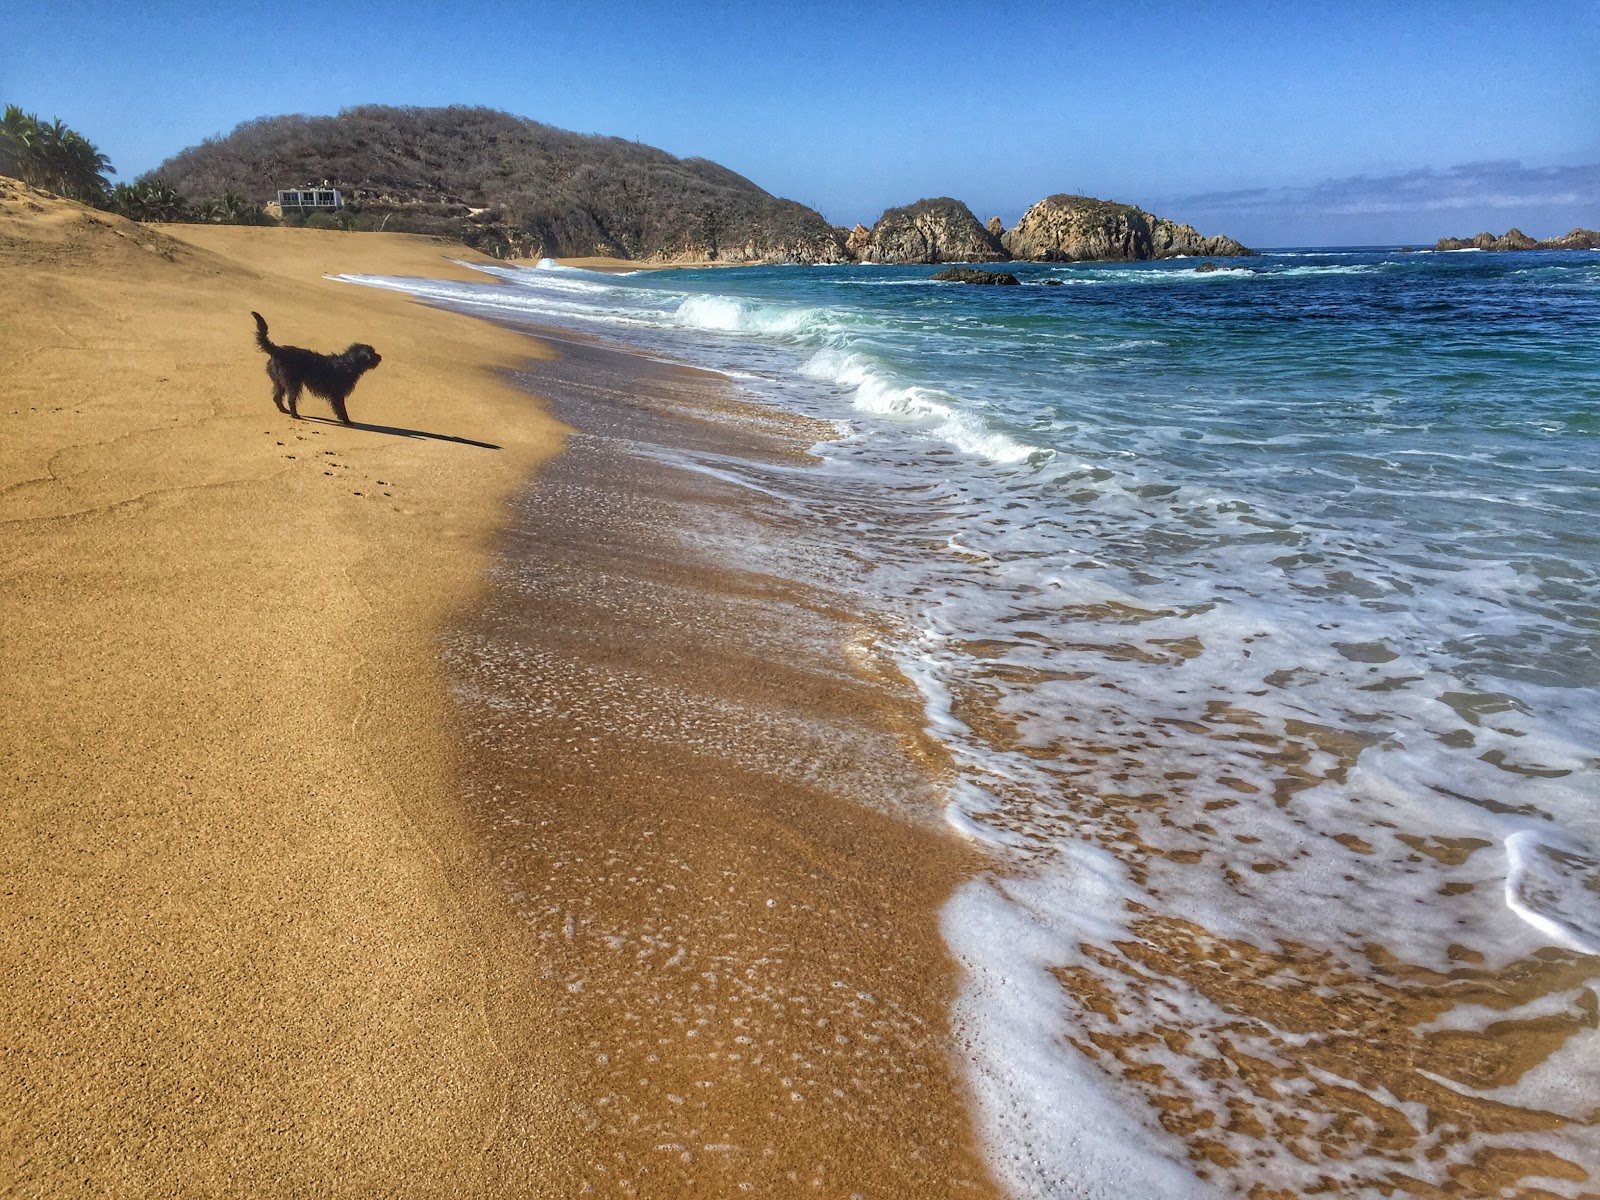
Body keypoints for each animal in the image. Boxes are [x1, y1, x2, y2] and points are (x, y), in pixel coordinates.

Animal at [252, 312, 384, 425]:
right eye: (373, 354)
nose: (381, 357)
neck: (348, 364)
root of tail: (276, 350)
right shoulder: (338, 393)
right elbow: (341, 408)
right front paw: (346, 420)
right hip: (293, 382)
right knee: (290, 399)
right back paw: (295, 415)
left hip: (280, 381)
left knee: (277, 396)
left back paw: (284, 410)